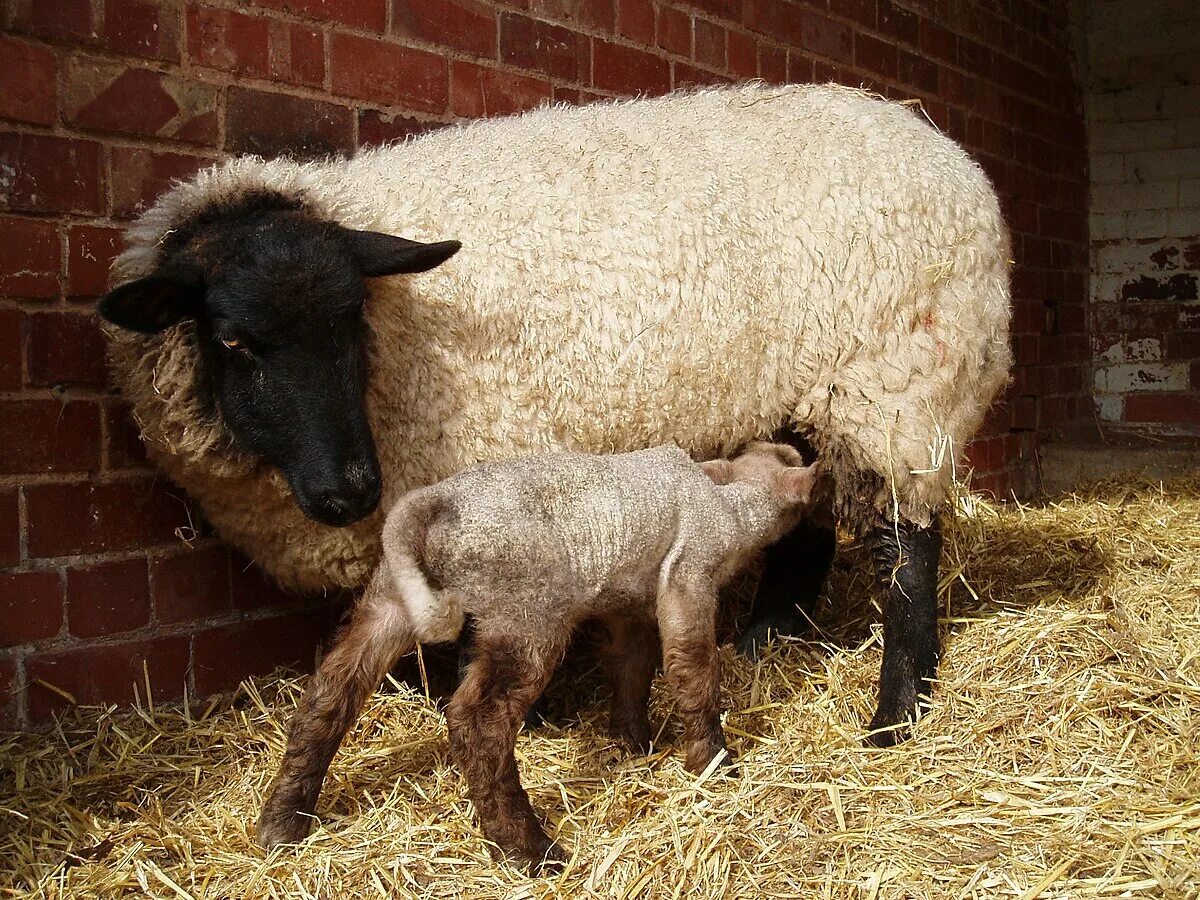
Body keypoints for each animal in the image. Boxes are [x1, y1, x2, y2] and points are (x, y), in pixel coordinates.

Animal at [100, 82, 1012, 748]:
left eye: (352, 318)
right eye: (232, 339)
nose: (349, 492)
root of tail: (945, 149)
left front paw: (521, 714)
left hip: (897, 384)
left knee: (910, 547)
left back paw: (896, 714)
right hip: (807, 393)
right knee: (808, 517)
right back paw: (764, 643)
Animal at [253, 441, 816, 868]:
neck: (727, 493)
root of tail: (433, 503)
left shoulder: (627, 604)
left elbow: (633, 666)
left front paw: (633, 741)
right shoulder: (690, 573)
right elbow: (693, 665)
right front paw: (713, 760)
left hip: (390, 600)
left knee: (331, 690)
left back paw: (283, 823)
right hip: (526, 615)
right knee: (477, 721)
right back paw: (531, 850)